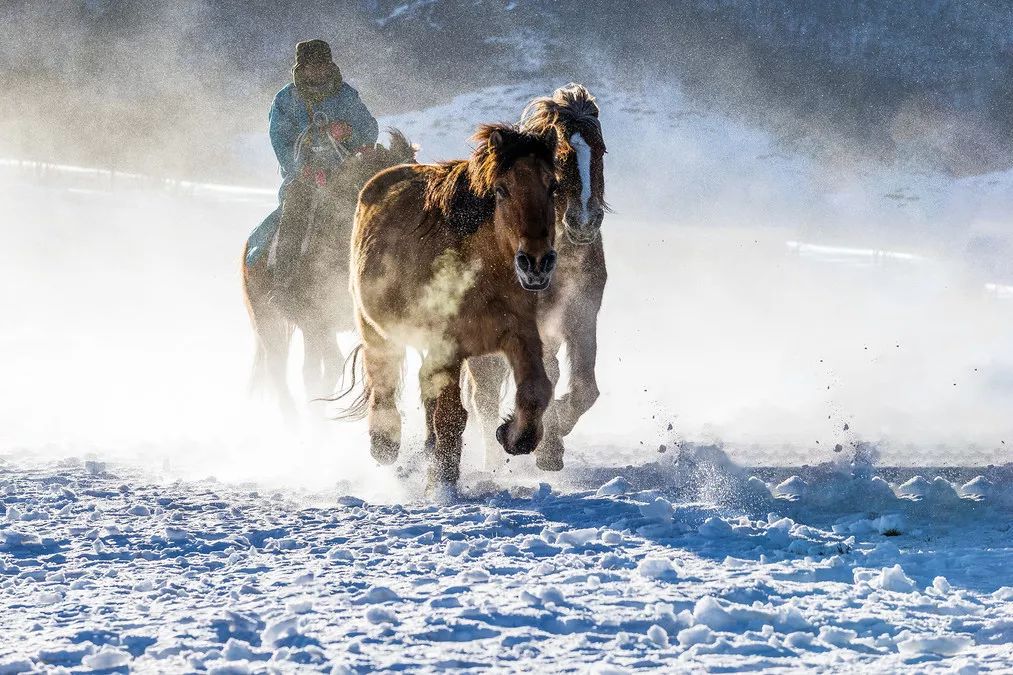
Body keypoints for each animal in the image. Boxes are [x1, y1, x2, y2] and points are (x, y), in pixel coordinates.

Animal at [346, 123, 555, 488]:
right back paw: (384, 446)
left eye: (553, 187)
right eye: (501, 190)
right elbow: (451, 416)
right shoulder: (447, 346)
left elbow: (536, 390)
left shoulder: (518, 332)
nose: (536, 263)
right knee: (384, 380)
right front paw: (442, 483)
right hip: (374, 330)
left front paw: (510, 435)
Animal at [465, 84, 607, 470]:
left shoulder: (581, 316)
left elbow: (585, 388)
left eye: (601, 149)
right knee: (484, 394)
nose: (585, 221)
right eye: (561, 157)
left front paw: (554, 439)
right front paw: (539, 441)